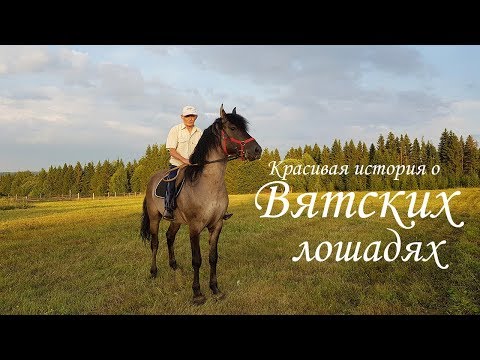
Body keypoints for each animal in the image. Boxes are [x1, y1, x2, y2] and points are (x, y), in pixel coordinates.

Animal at [141, 104, 262, 304]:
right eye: (233, 128)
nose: (257, 150)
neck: (207, 184)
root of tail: (151, 179)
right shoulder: (195, 227)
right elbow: (196, 260)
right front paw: (197, 294)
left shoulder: (217, 225)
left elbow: (213, 257)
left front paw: (215, 289)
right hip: (154, 218)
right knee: (155, 243)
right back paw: (153, 272)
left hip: (175, 220)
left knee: (169, 237)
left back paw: (174, 266)